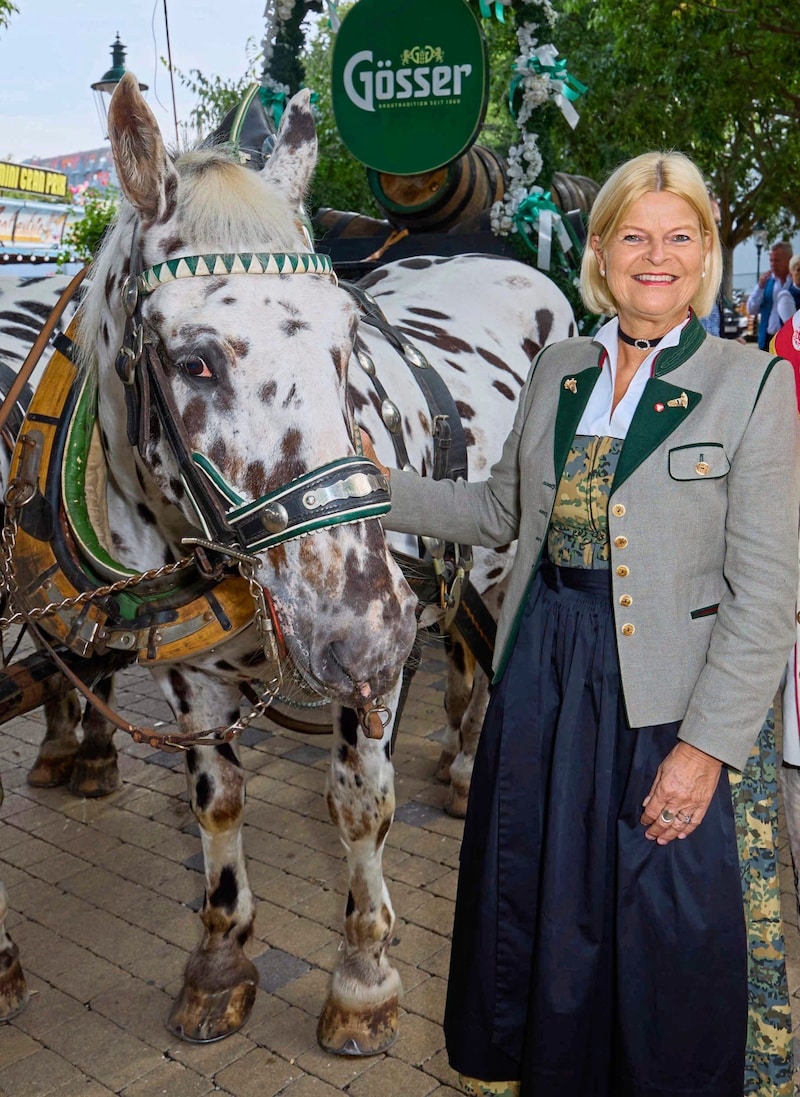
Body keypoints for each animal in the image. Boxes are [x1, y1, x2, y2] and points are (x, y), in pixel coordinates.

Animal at [0, 72, 575, 1048]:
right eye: (193, 360)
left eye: (348, 335)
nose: (363, 628)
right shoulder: (189, 670)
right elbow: (217, 798)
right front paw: (221, 957)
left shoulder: (378, 673)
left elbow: (361, 802)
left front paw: (364, 973)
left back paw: (466, 763)